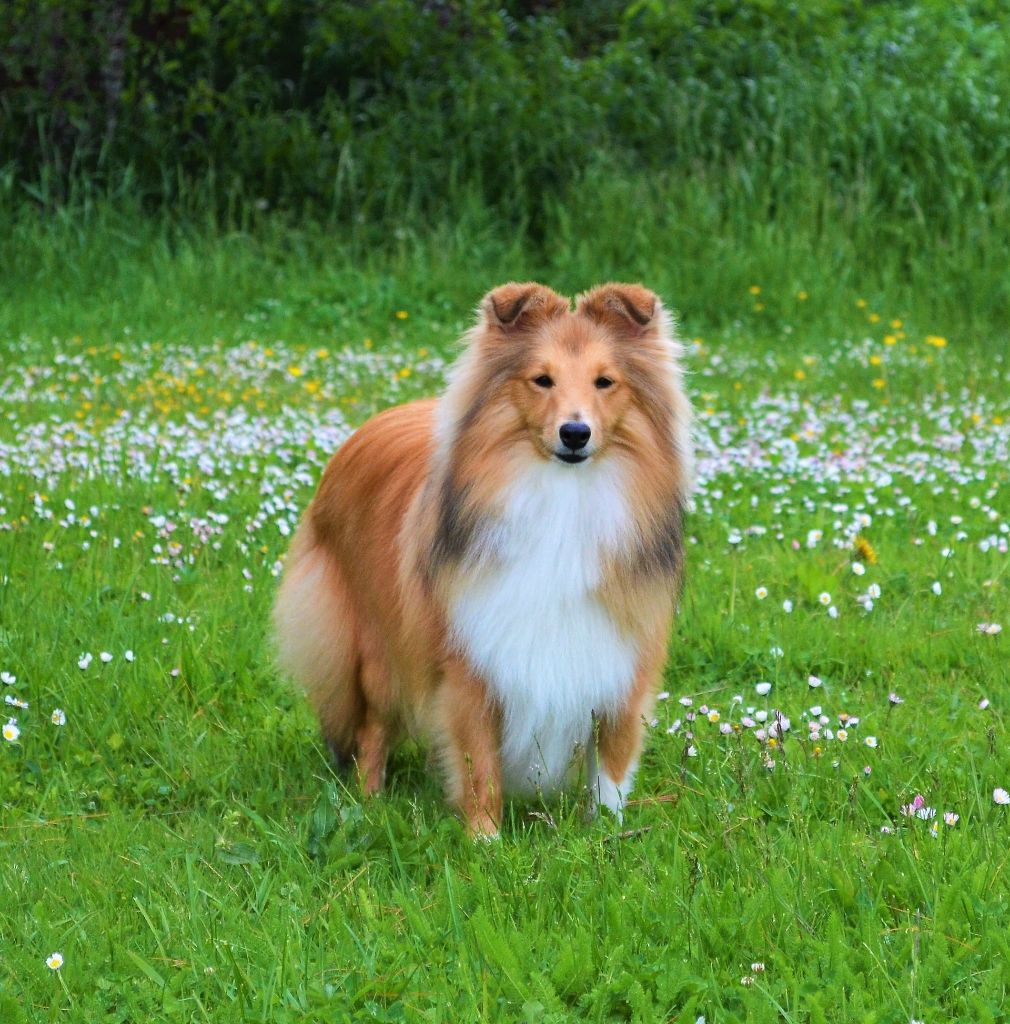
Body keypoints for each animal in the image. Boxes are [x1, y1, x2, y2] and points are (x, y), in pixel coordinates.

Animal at [273, 282, 692, 835]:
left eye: (605, 382)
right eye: (541, 379)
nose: (574, 433)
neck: (563, 499)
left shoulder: (621, 656)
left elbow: (612, 765)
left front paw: (604, 834)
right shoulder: (471, 660)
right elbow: (479, 765)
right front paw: (485, 840)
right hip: (378, 645)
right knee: (372, 729)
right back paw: (369, 805)